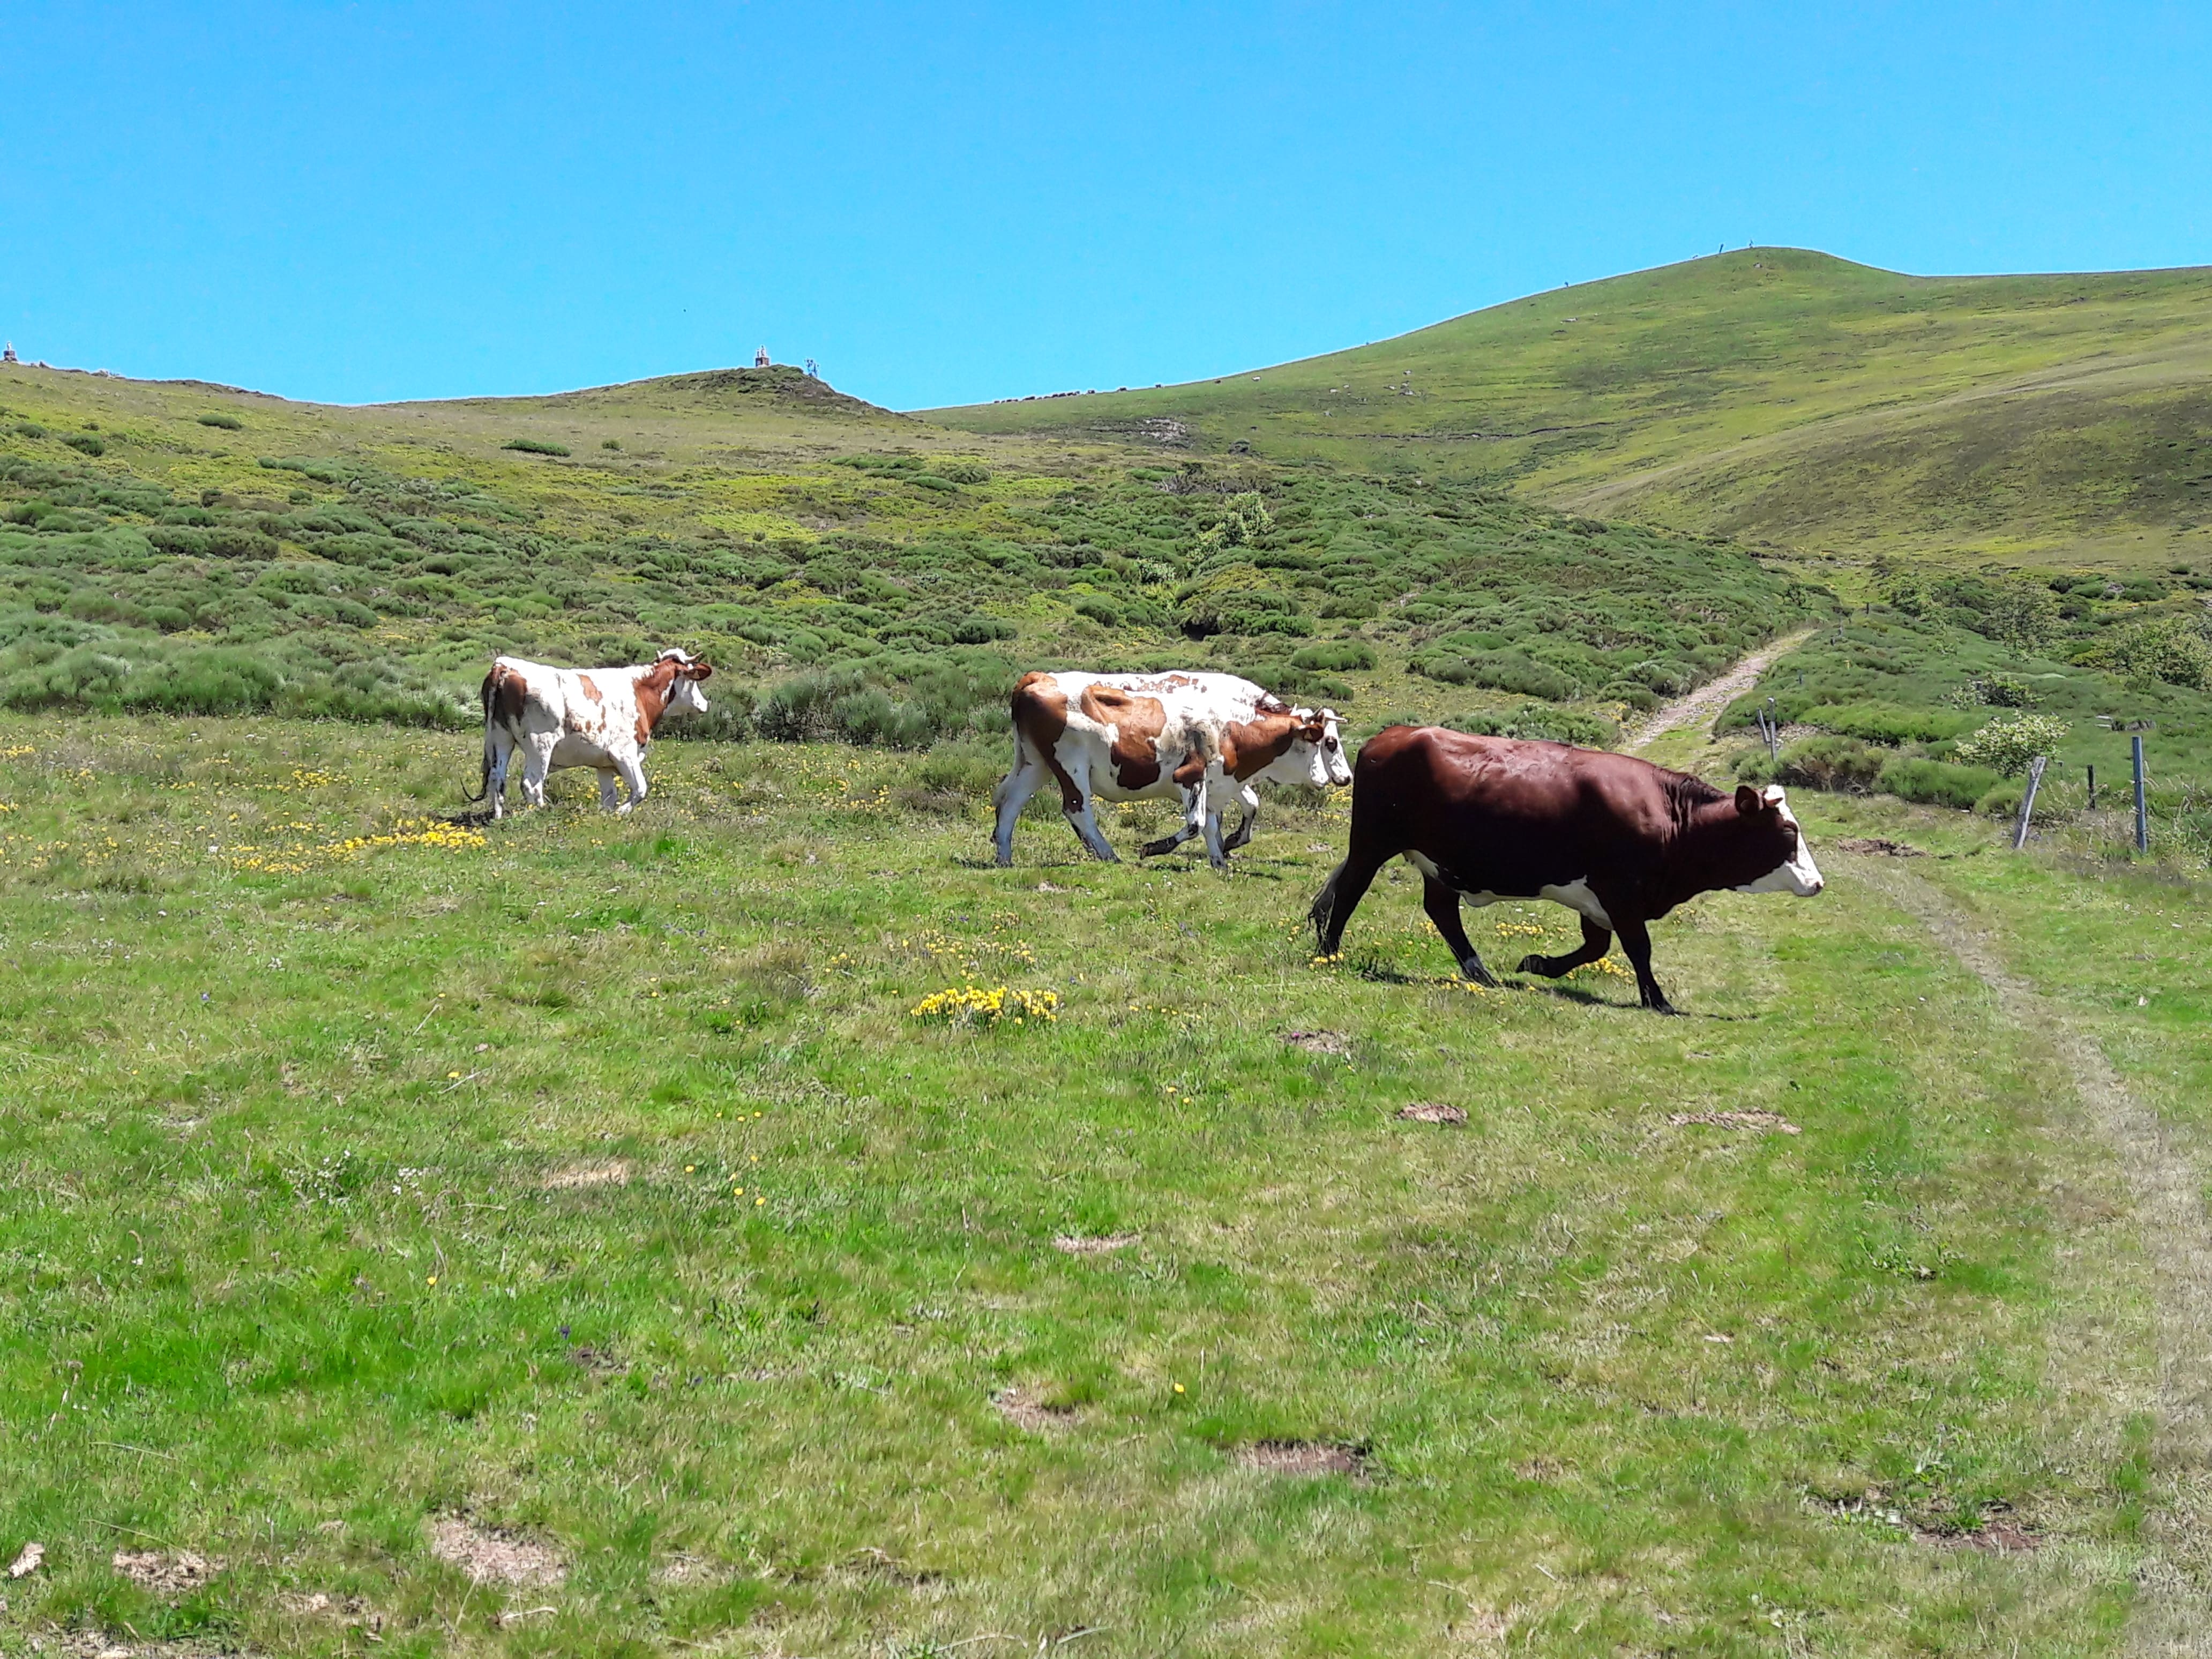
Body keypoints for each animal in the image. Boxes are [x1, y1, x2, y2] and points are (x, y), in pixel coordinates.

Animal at [477, 650, 712, 818]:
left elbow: (609, 796)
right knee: (532, 783)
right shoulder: (624, 752)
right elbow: (641, 789)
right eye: (693, 680)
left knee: (498, 778)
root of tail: (504, 665)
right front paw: (623, 812)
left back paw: (498, 816)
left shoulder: (604, 763)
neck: (640, 691)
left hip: (501, 739)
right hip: (540, 744)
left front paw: (607, 815)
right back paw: (542, 813)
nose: (705, 704)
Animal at [999, 668, 1344, 871]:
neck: (1230, 728)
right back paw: (1108, 854)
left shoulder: (1216, 785)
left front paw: (1221, 860)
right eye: (1326, 742)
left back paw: (1003, 855)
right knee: (1077, 808)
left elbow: (1215, 823)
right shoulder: (1190, 777)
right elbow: (1196, 824)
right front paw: (1153, 848)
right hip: (1071, 765)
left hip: (1036, 764)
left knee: (1011, 802)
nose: (1339, 778)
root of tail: (1036, 677)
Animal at [1301, 725, 1822, 1013]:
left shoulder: (1599, 901)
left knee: (1441, 911)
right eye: (1788, 833)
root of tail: (1394, 734)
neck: (1671, 817)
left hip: (1438, 863)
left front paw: (1537, 964)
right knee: (1350, 892)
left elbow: (1596, 948)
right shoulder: (1620, 891)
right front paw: (1658, 1000)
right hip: (1373, 843)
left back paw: (1480, 972)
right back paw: (1330, 954)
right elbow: (1638, 948)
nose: (1817, 883)